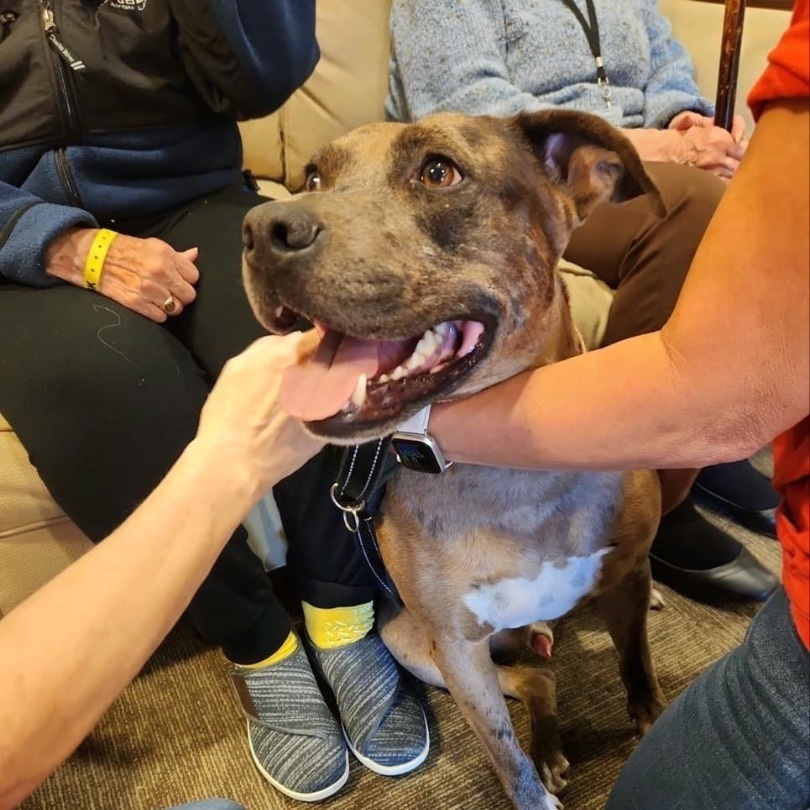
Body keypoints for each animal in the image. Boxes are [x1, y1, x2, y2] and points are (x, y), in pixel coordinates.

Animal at [243, 109, 664, 808]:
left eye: (438, 172)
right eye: (315, 176)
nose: (258, 231)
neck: (511, 466)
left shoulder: (625, 577)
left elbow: (639, 674)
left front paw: (654, 722)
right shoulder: (459, 652)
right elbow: (505, 755)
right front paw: (532, 782)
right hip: (415, 645)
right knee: (537, 680)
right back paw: (549, 748)